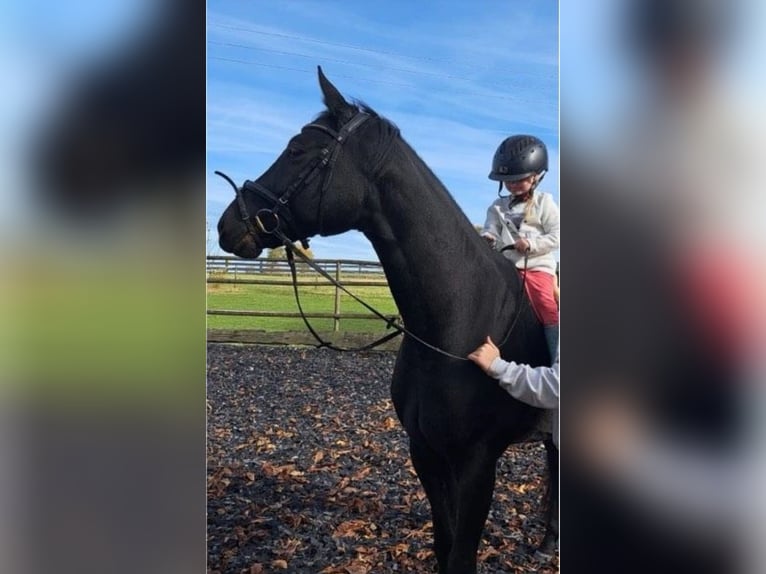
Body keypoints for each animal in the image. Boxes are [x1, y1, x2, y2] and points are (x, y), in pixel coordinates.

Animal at [216, 67, 558, 574]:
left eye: (297, 150)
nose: (228, 225)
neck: (457, 324)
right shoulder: (426, 453)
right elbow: (443, 542)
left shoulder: (477, 464)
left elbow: (461, 555)